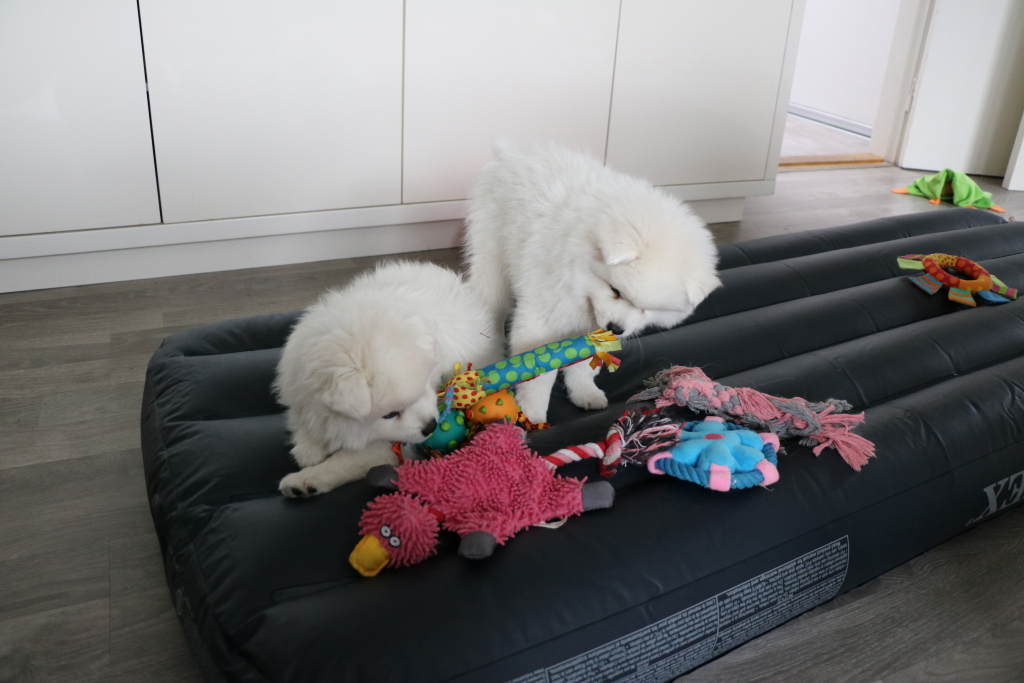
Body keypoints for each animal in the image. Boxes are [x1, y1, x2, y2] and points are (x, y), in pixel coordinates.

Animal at [274, 260, 500, 498]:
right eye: (390, 414)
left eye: (425, 388)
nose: (431, 427)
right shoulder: (299, 389)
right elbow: (303, 421)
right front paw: (308, 448)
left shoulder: (395, 445)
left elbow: (350, 459)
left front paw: (305, 479)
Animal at [464, 141, 721, 423]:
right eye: (615, 290)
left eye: (646, 308)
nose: (616, 329)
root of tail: (508, 151)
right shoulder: (541, 320)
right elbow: (538, 375)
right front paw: (532, 414)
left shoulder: (588, 330)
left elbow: (583, 366)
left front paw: (585, 393)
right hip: (492, 256)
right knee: (491, 302)